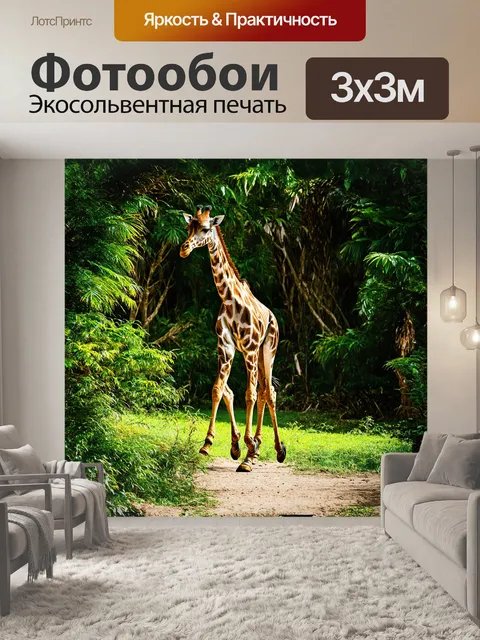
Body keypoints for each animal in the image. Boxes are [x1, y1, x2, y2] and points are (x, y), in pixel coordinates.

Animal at [179, 205, 287, 472]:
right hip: (256, 355)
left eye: (205, 228)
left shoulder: (249, 348)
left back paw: (275, 450)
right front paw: (211, 444)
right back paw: (254, 447)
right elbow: (220, 389)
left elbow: (249, 394)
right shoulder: (226, 347)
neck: (228, 299)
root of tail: (273, 316)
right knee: (262, 391)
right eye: (188, 227)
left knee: (268, 392)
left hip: (267, 351)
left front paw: (247, 451)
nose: (183, 248)